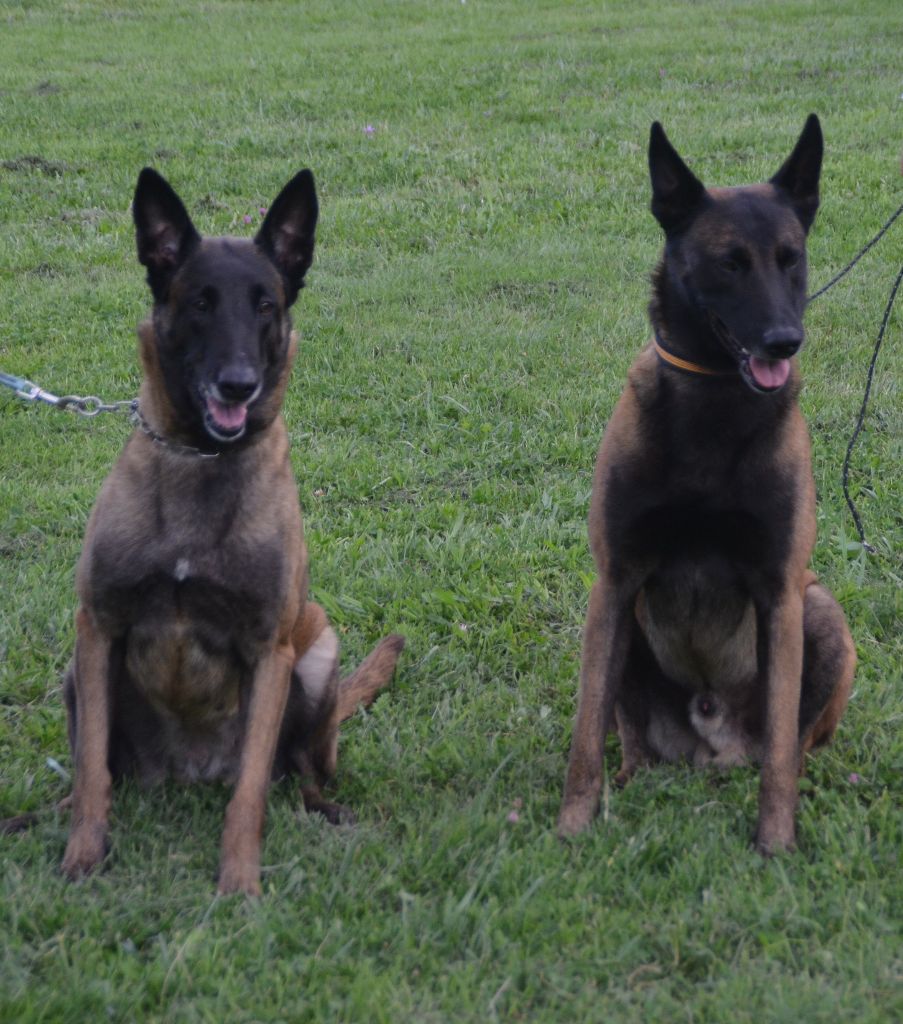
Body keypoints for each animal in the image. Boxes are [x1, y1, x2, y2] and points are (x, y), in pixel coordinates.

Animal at [8, 163, 403, 892]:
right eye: (199, 303)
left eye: (265, 305)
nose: (238, 385)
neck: (201, 460)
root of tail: (187, 775)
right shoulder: (97, 626)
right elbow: (92, 773)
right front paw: (83, 858)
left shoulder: (271, 651)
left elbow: (249, 791)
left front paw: (239, 882)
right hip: (78, 677)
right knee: (93, 774)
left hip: (318, 651)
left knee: (299, 771)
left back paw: (324, 810)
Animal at [552, 116, 855, 851]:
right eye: (729, 262)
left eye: (790, 258)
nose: (784, 341)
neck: (715, 405)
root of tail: (712, 746)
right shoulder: (615, 581)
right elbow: (584, 736)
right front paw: (571, 828)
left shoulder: (780, 592)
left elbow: (779, 751)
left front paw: (774, 844)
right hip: (623, 626)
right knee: (629, 740)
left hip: (821, 612)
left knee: (793, 745)